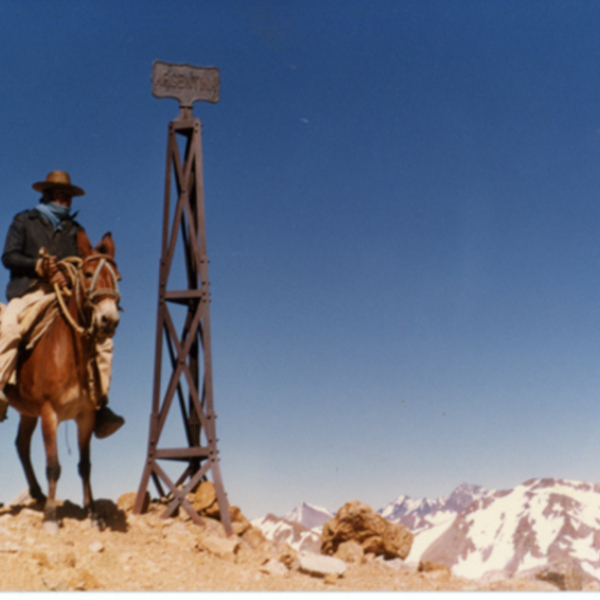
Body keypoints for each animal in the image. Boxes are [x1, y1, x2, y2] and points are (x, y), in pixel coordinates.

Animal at [4, 229, 121, 528]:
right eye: (88, 274)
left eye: (118, 276)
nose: (109, 320)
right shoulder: (49, 413)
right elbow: (54, 466)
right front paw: (51, 518)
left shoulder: (85, 416)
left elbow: (85, 465)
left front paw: (93, 514)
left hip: (27, 412)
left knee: (21, 445)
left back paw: (36, 493)